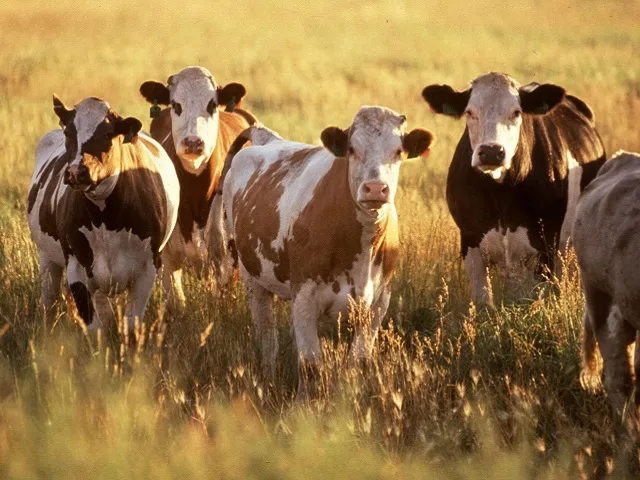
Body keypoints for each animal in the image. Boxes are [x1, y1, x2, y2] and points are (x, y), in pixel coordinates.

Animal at [27, 95, 180, 329]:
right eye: (68, 132)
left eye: (108, 134)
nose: (76, 172)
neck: (105, 219)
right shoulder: (76, 268)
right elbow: (94, 326)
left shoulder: (148, 269)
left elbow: (132, 324)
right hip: (47, 258)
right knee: (49, 301)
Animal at [218, 106, 434, 395]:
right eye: (352, 149)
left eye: (398, 150)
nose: (375, 188)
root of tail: (269, 139)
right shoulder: (304, 297)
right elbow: (310, 365)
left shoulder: (378, 303)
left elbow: (358, 362)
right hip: (252, 279)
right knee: (267, 337)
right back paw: (269, 380)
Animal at [422, 72, 606, 306]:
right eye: (469, 112)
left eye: (516, 112)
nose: (491, 152)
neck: (501, 195)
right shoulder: (469, 240)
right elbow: (483, 302)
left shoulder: (545, 244)